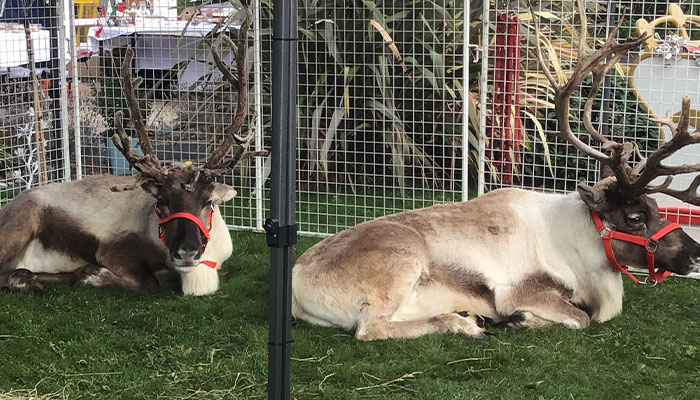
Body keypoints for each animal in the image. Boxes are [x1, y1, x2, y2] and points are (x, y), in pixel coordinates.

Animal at [0, 9, 263, 296]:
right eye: (161, 203)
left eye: (209, 203)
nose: (186, 253)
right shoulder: (112, 249)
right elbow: (147, 281)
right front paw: (93, 275)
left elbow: (218, 272)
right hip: (23, 221)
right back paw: (30, 279)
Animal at [290, 0, 700, 340]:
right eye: (634, 218)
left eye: (657, 208)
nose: (694, 254)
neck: (582, 246)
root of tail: (296, 284)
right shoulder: (519, 290)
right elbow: (578, 318)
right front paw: (521, 319)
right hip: (401, 262)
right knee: (370, 329)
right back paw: (465, 324)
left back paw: (469, 317)